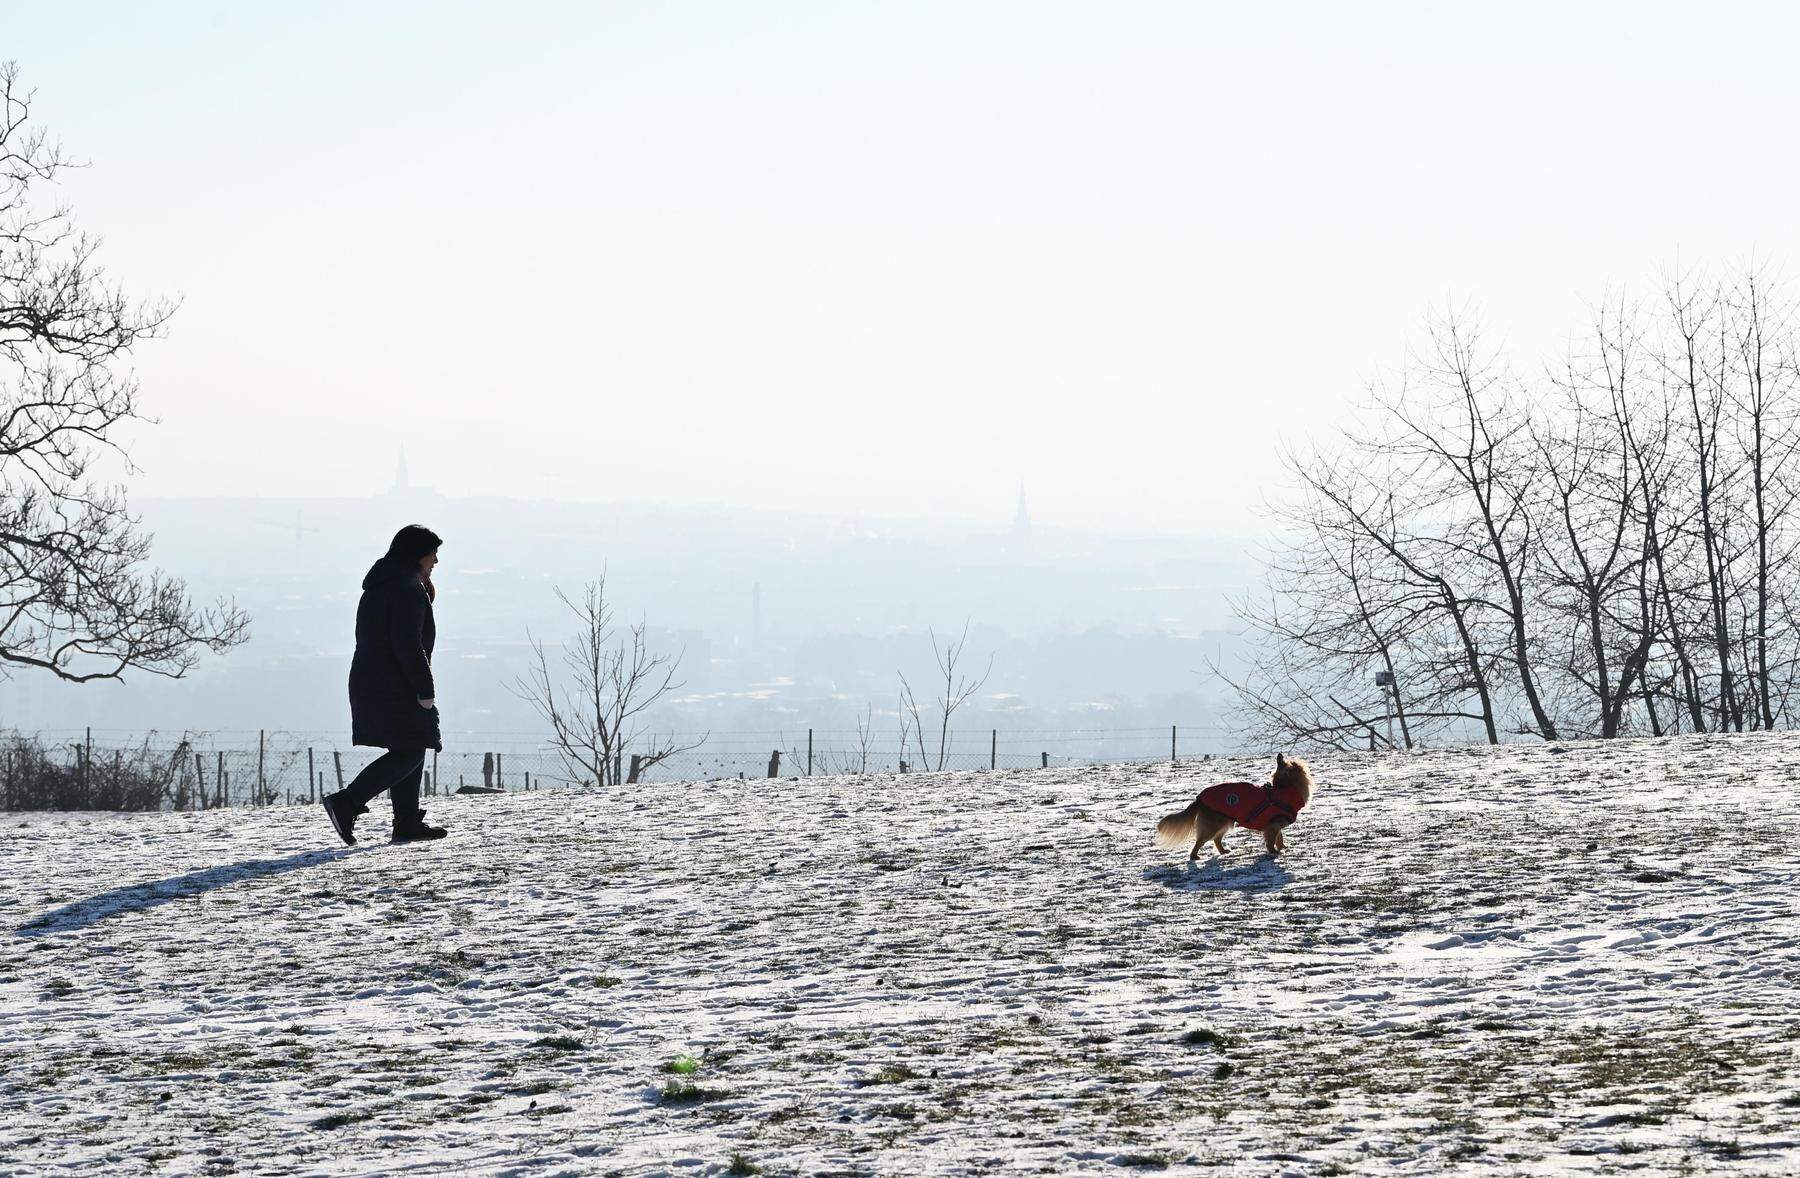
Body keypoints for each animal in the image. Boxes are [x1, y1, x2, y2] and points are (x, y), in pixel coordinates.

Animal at [1159, 756, 1317, 868]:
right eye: (1286, 762)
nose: (1279, 755)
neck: (1283, 790)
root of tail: (1200, 799)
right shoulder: (1272, 825)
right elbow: (1272, 840)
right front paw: (1273, 852)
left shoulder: (1276, 824)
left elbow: (1280, 838)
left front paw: (1283, 848)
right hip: (1212, 825)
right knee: (1200, 841)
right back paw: (1194, 857)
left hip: (1224, 822)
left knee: (1216, 839)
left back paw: (1223, 852)